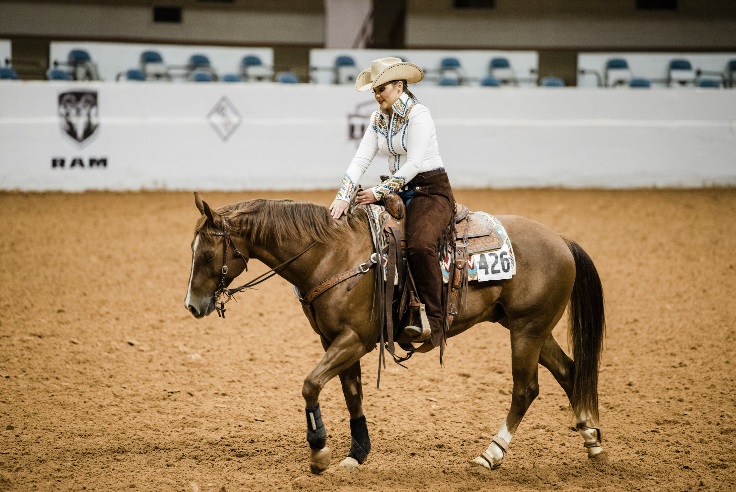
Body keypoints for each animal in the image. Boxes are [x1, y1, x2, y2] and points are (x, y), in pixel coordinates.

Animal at [183, 192, 604, 472]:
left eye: (206, 253)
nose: (192, 305)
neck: (331, 255)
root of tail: (561, 240)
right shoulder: (333, 339)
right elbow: (352, 392)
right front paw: (356, 453)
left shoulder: (355, 339)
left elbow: (311, 384)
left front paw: (319, 451)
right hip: (532, 328)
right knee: (569, 373)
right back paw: (593, 441)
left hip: (527, 331)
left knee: (525, 389)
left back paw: (491, 453)